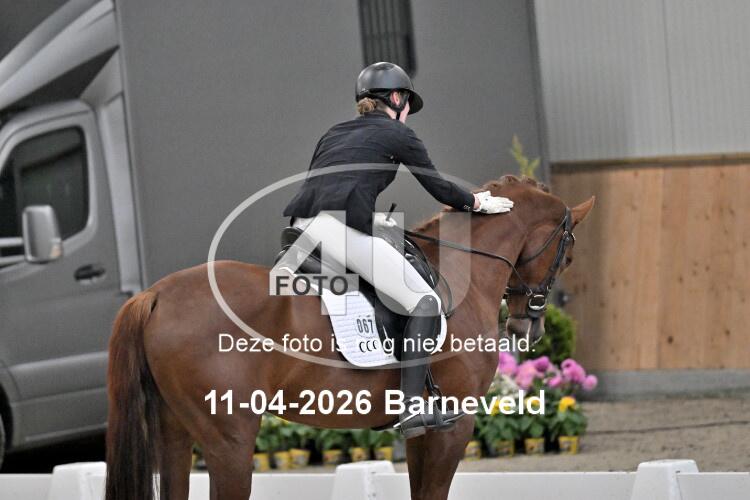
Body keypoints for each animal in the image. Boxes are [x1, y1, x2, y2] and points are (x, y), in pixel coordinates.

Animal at [105, 175, 594, 500]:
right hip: (230, 441)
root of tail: (155, 294)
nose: (527, 328)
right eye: (567, 254)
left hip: (174, 434)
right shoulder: (453, 426)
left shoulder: (425, 432)